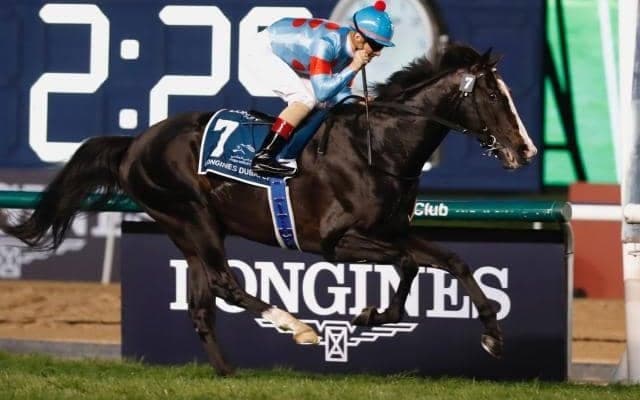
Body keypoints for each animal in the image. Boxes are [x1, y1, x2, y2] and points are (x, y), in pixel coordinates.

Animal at [0, 43, 537, 376]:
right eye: (494, 94)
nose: (527, 150)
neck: (380, 147)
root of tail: (134, 143)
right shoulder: (338, 241)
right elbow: (408, 264)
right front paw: (369, 314)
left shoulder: (391, 229)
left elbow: (449, 262)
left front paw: (491, 335)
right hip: (191, 216)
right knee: (226, 285)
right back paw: (297, 328)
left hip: (189, 230)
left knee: (202, 304)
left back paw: (228, 372)